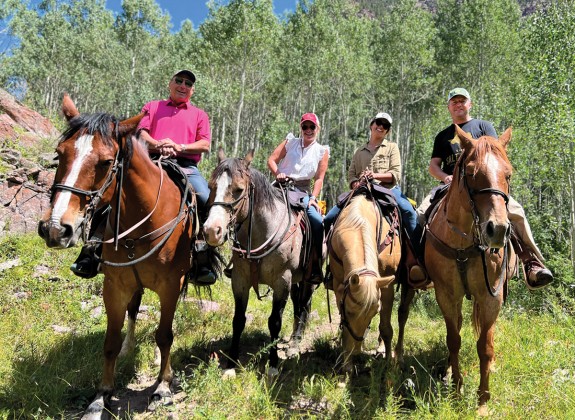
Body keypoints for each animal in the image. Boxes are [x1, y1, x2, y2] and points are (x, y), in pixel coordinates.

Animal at [38, 94, 196, 414]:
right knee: (134, 309)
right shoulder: (115, 286)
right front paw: (102, 394)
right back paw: (128, 348)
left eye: (106, 162)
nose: (55, 228)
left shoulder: (170, 286)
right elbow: (110, 341)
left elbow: (164, 335)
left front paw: (162, 386)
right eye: (60, 154)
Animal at [205, 149, 318, 376]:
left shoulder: (282, 282)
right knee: (298, 304)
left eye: (239, 189)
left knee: (303, 306)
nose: (212, 231)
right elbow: (238, 320)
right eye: (211, 186)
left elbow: (275, 322)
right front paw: (231, 365)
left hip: (307, 280)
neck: (261, 232)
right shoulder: (240, 280)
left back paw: (295, 342)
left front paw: (273, 365)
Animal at [328, 185, 414, 372]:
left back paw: (398, 356)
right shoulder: (339, 285)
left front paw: (388, 363)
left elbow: (386, 327)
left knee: (402, 315)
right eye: (349, 311)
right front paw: (346, 364)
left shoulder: (387, 286)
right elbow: (344, 327)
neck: (357, 221)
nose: (356, 351)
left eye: (373, 312)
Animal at [428, 124, 516, 414]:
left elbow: (485, 347)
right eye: (470, 173)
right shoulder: (446, 294)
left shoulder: (491, 297)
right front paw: (456, 389)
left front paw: (483, 401)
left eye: (508, 174)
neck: (464, 243)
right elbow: (453, 339)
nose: (497, 229)